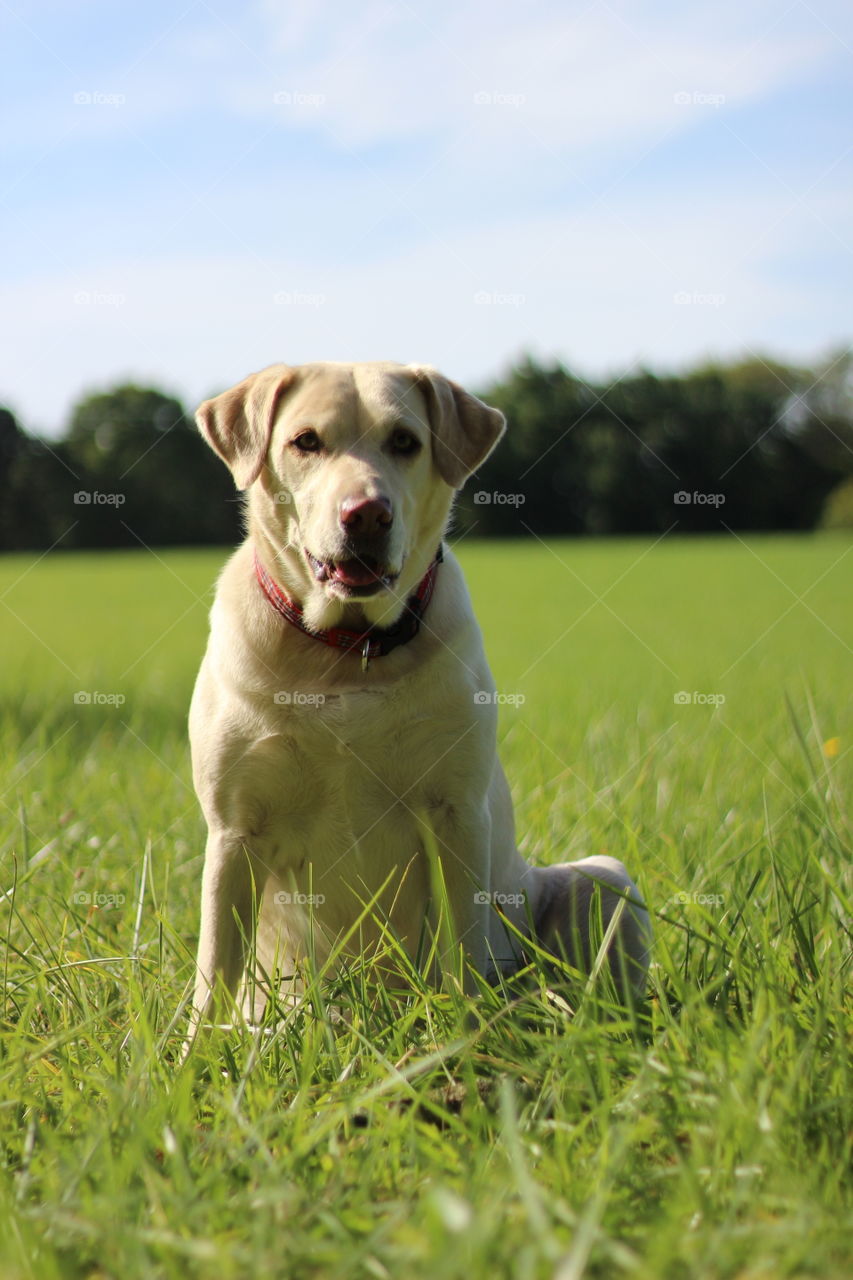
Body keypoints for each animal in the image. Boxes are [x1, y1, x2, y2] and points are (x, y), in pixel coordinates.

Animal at [188, 363, 650, 1039]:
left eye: (405, 441)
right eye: (306, 441)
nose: (367, 514)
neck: (346, 650)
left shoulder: (455, 813)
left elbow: (464, 949)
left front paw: (469, 1033)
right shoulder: (233, 831)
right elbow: (214, 970)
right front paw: (196, 1053)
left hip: (601, 877)